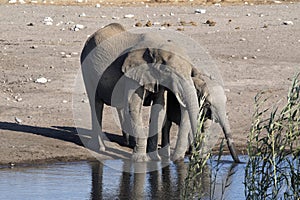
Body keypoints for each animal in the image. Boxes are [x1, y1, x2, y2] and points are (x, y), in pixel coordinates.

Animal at [79, 22, 199, 162]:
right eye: (168, 71)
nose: (189, 156)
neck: (157, 47)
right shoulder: (133, 73)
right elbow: (134, 107)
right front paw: (141, 160)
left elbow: (159, 108)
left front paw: (155, 158)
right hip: (87, 68)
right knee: (96, 103)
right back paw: (99, 148)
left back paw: (128, 143)